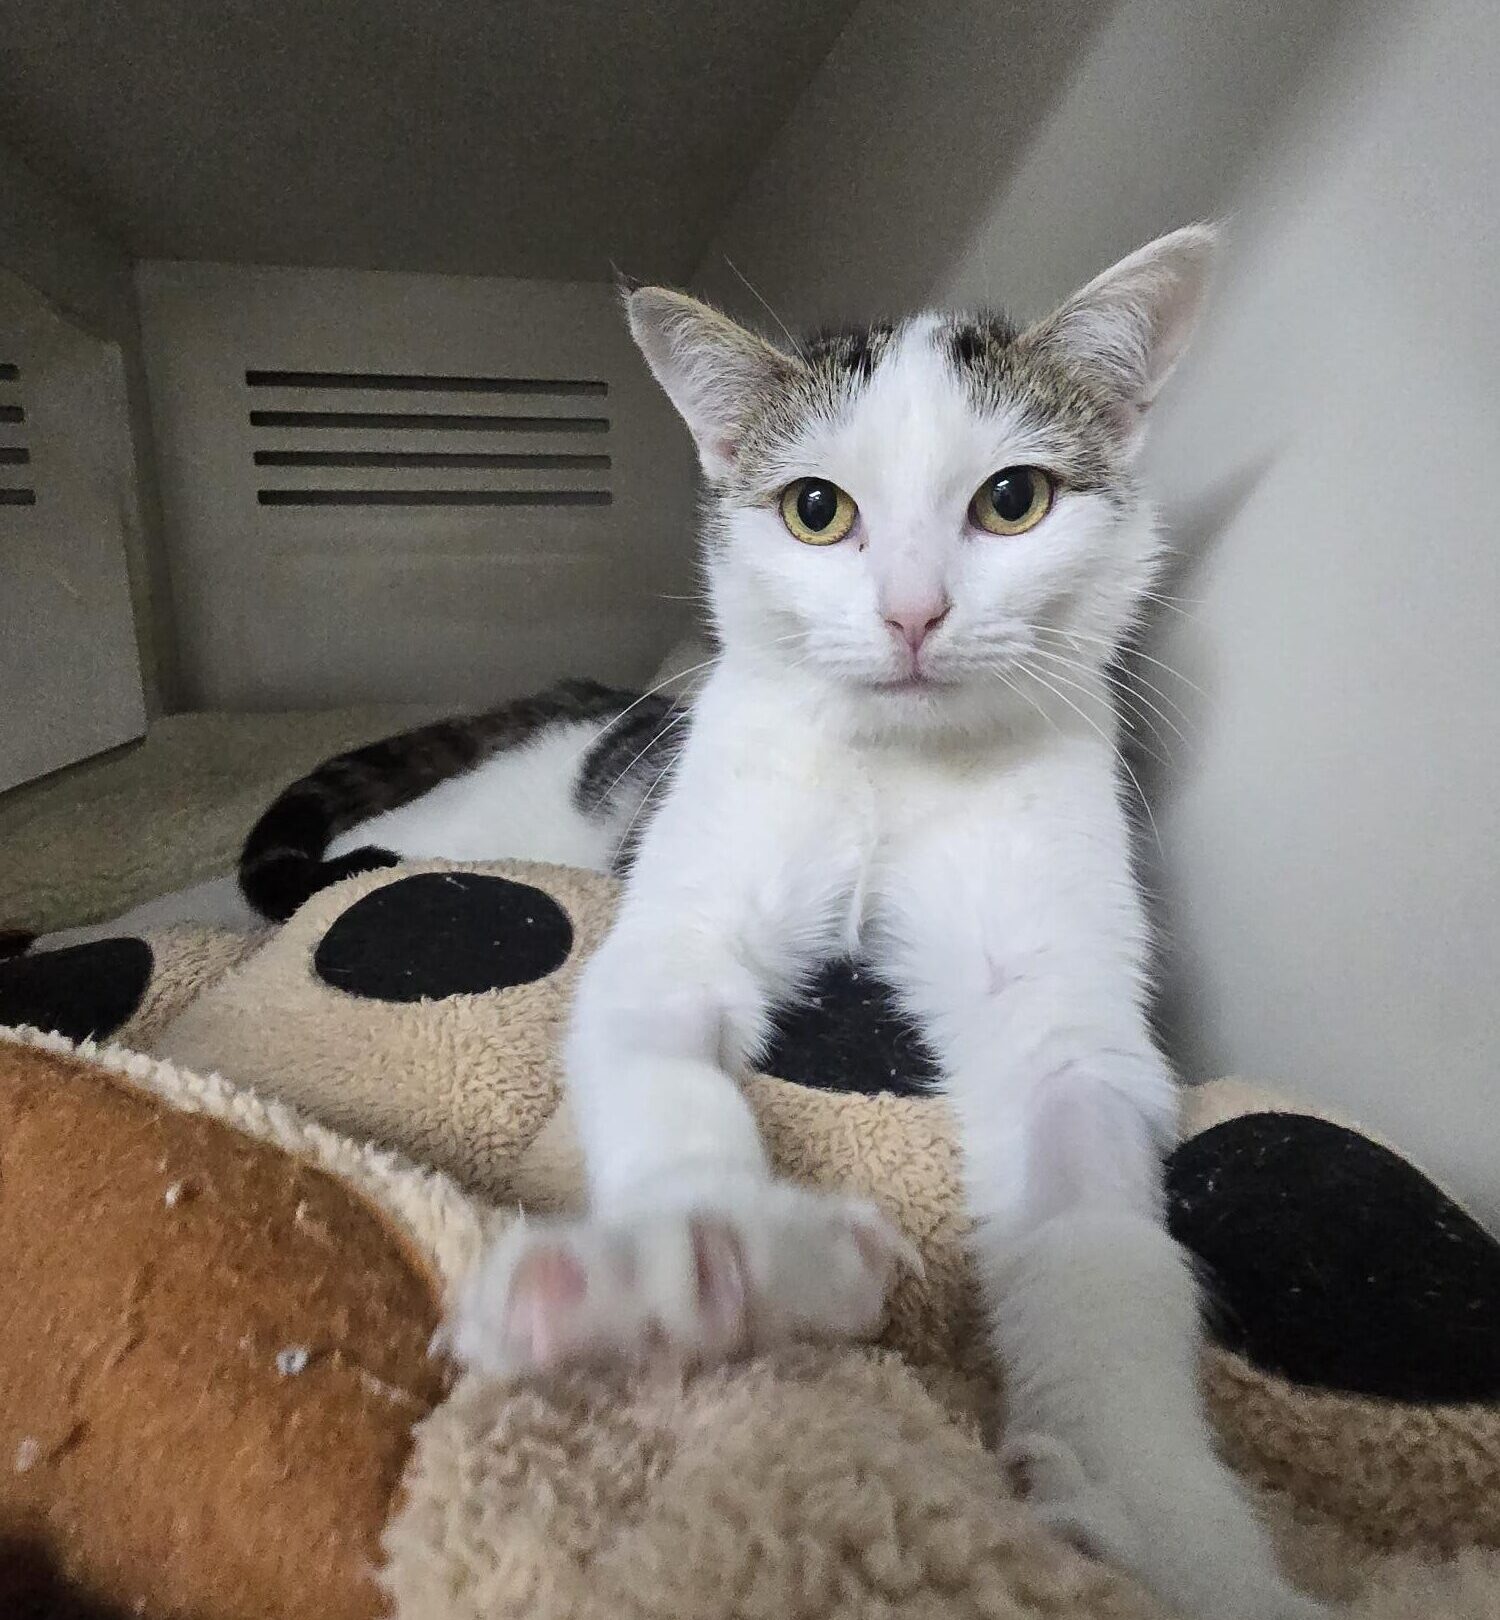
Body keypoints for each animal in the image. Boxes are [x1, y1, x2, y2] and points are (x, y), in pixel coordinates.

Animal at [447, 227, 1329, 1619]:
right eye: (818, 509)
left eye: (1014, 500)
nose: (914, 613)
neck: (897, 768)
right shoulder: (680, 920)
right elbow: (660, 1054)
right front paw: (697, 1257)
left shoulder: (1065, 999)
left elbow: (1101, 1240)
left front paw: (1168, 1522)